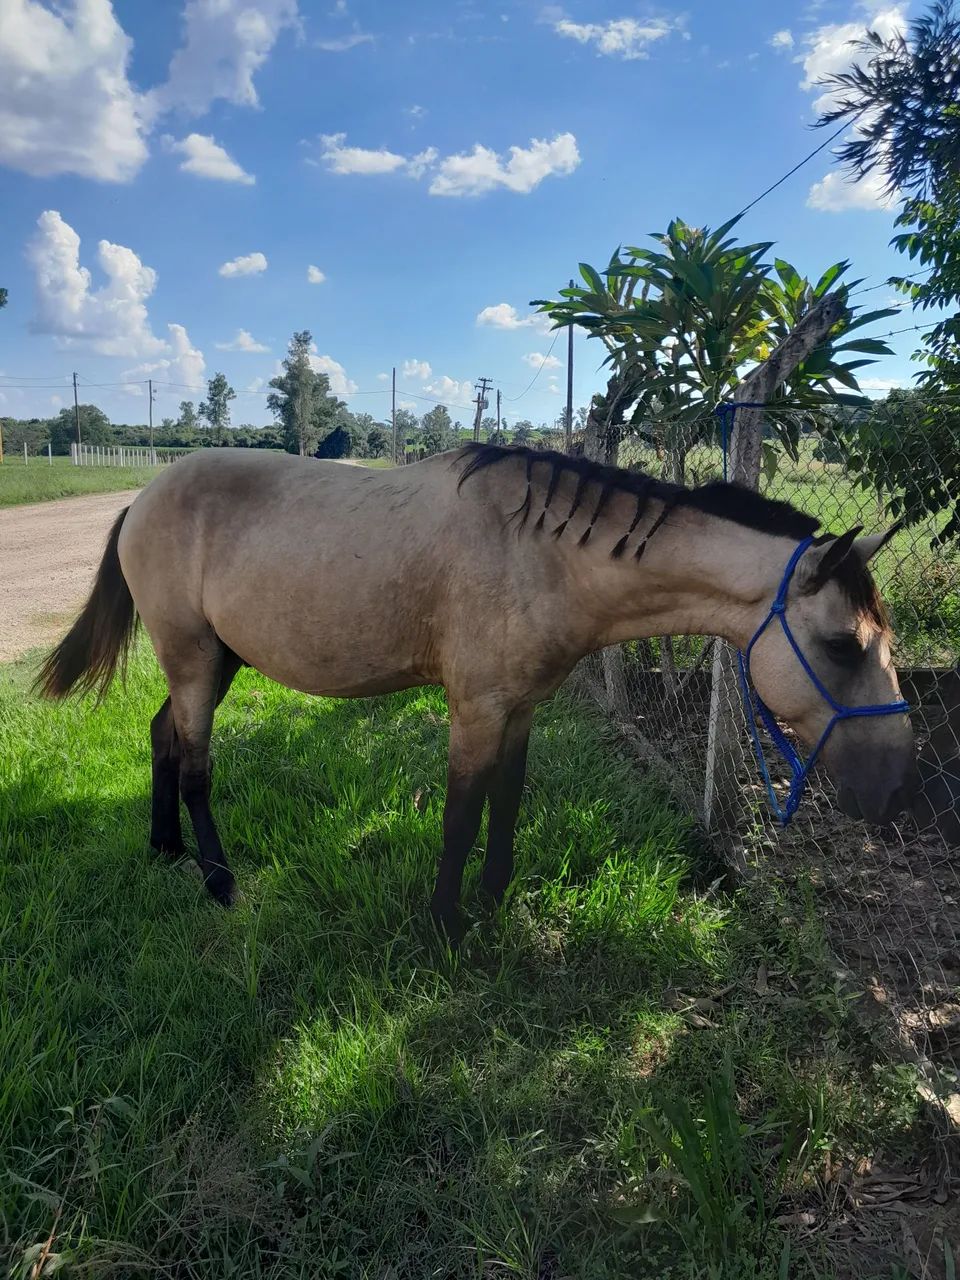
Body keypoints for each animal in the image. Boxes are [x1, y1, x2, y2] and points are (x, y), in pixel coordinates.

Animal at [36, 444, 919, 939]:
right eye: (842, 645)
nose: (894, 792)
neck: (542, 553)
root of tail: (140, 499)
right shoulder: (474, 711)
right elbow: (461, 816)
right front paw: (446, 925)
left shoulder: (521, 708)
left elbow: (506, 802)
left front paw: (494, 900)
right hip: (192, 659)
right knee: (195, 767)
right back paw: (218, 880)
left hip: (215, 662)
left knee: (163, 737)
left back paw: (164, 849)